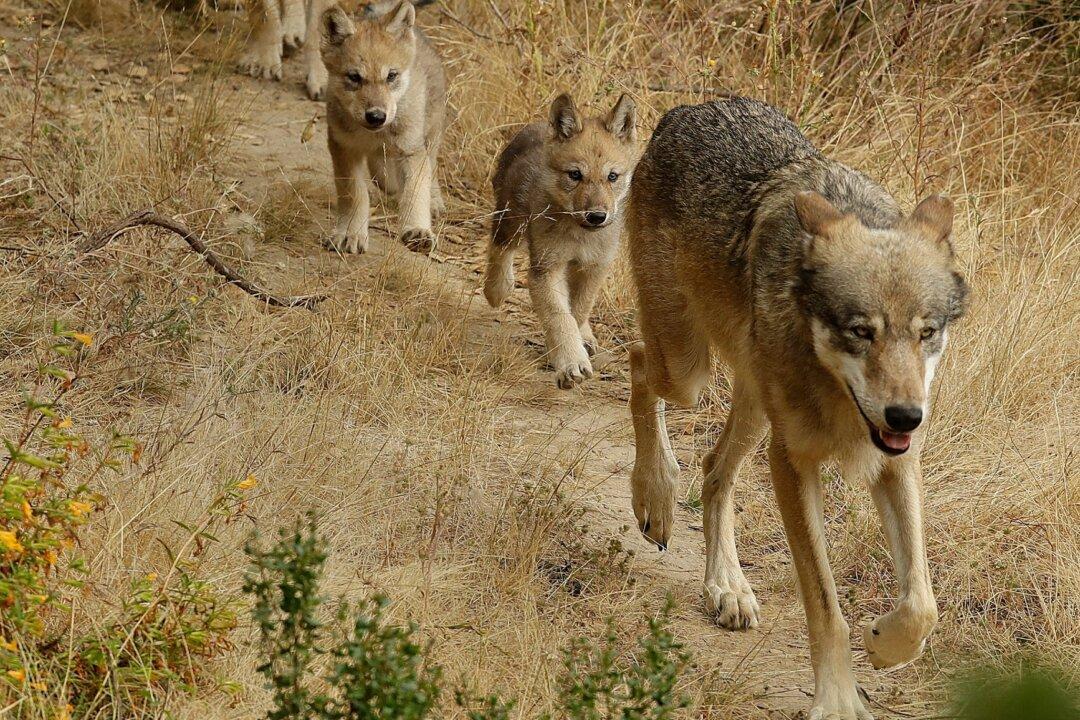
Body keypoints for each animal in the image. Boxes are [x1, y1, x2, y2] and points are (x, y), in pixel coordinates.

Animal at [316, 1, 446, 255]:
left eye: (391, 76)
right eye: (354, 77)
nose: (376, 116)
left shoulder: (411, 150)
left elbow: (416, 192)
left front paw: (417, 230)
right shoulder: (344, 148)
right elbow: (355, 194)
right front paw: (351, 233)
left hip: (431, 134)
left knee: (432, 167)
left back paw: (434, 201)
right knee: (385, 176)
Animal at [484, 93, 637, 389]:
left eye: (612, 176)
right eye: (575, 175)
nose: (597, 216)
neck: (580, 237)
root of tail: (535, 126)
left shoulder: (594, 267)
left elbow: (577, 311)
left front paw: (568, 351)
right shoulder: (546, 268)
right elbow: (560, 317)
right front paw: (570, 362)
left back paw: (587, 338)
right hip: (511, 221)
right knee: (499, 249)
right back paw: (497, 289)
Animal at [626, 96, 968, 720]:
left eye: (926, 333)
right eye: (861, 331)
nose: (906, 416)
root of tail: (689, 108)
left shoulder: (896, 462)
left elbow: (922, 603)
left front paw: (883, 646)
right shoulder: (793, 463)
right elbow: (826, 605)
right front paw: (837, 700)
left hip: (753, 406)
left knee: (714, 471)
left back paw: (727, 588)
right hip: (688, 371)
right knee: (639, 366)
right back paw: (656, 497)